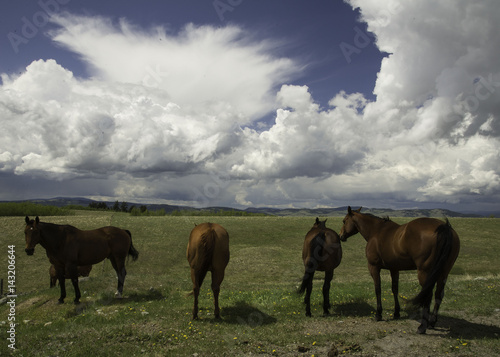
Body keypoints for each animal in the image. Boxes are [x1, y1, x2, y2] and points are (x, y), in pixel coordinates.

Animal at [338, 204, 458, 332]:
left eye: (344, 221)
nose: (341, 236)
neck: (376, 231)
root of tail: (444, 227)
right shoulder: (394, 269)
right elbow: (395, 289)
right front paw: (396, 312)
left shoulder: (374, 268)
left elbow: (378, 289)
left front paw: (378, 314)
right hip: (443, 272)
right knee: (438, 294)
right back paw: (432, 322)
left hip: (424, 273)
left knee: (428, 295)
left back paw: (422, 327)